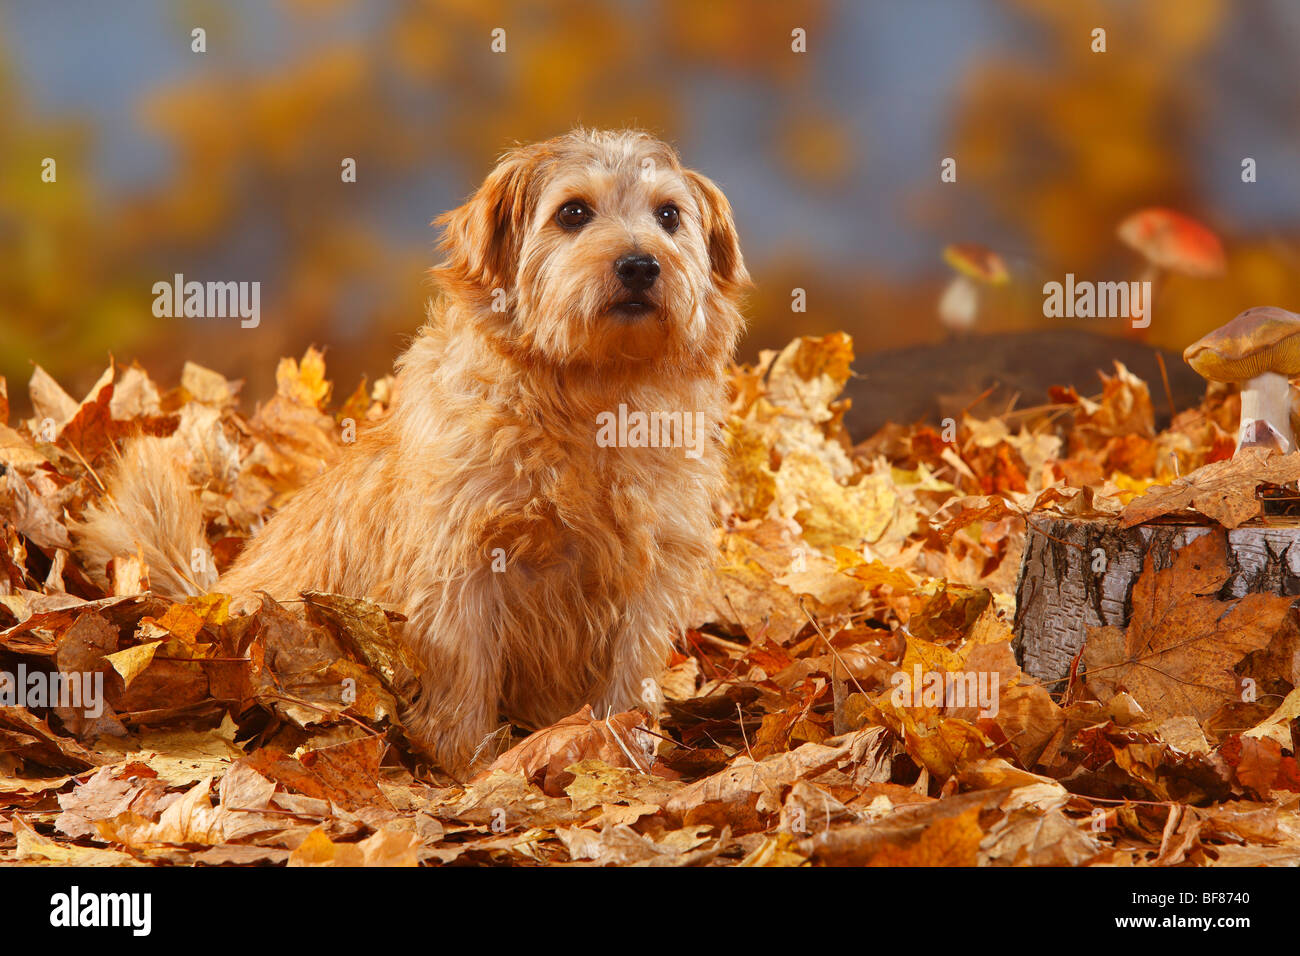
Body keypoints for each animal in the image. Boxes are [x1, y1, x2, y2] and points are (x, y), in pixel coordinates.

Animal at [76, 127, 748, 775]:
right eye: (574, 212)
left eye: (668, 215)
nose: (640, 264)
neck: (592, 398)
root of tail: (204, 601)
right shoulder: (461, 563)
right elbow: (465, 674)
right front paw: (470, 767)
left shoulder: (651, 571)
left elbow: (629, 677)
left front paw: (623, 750)